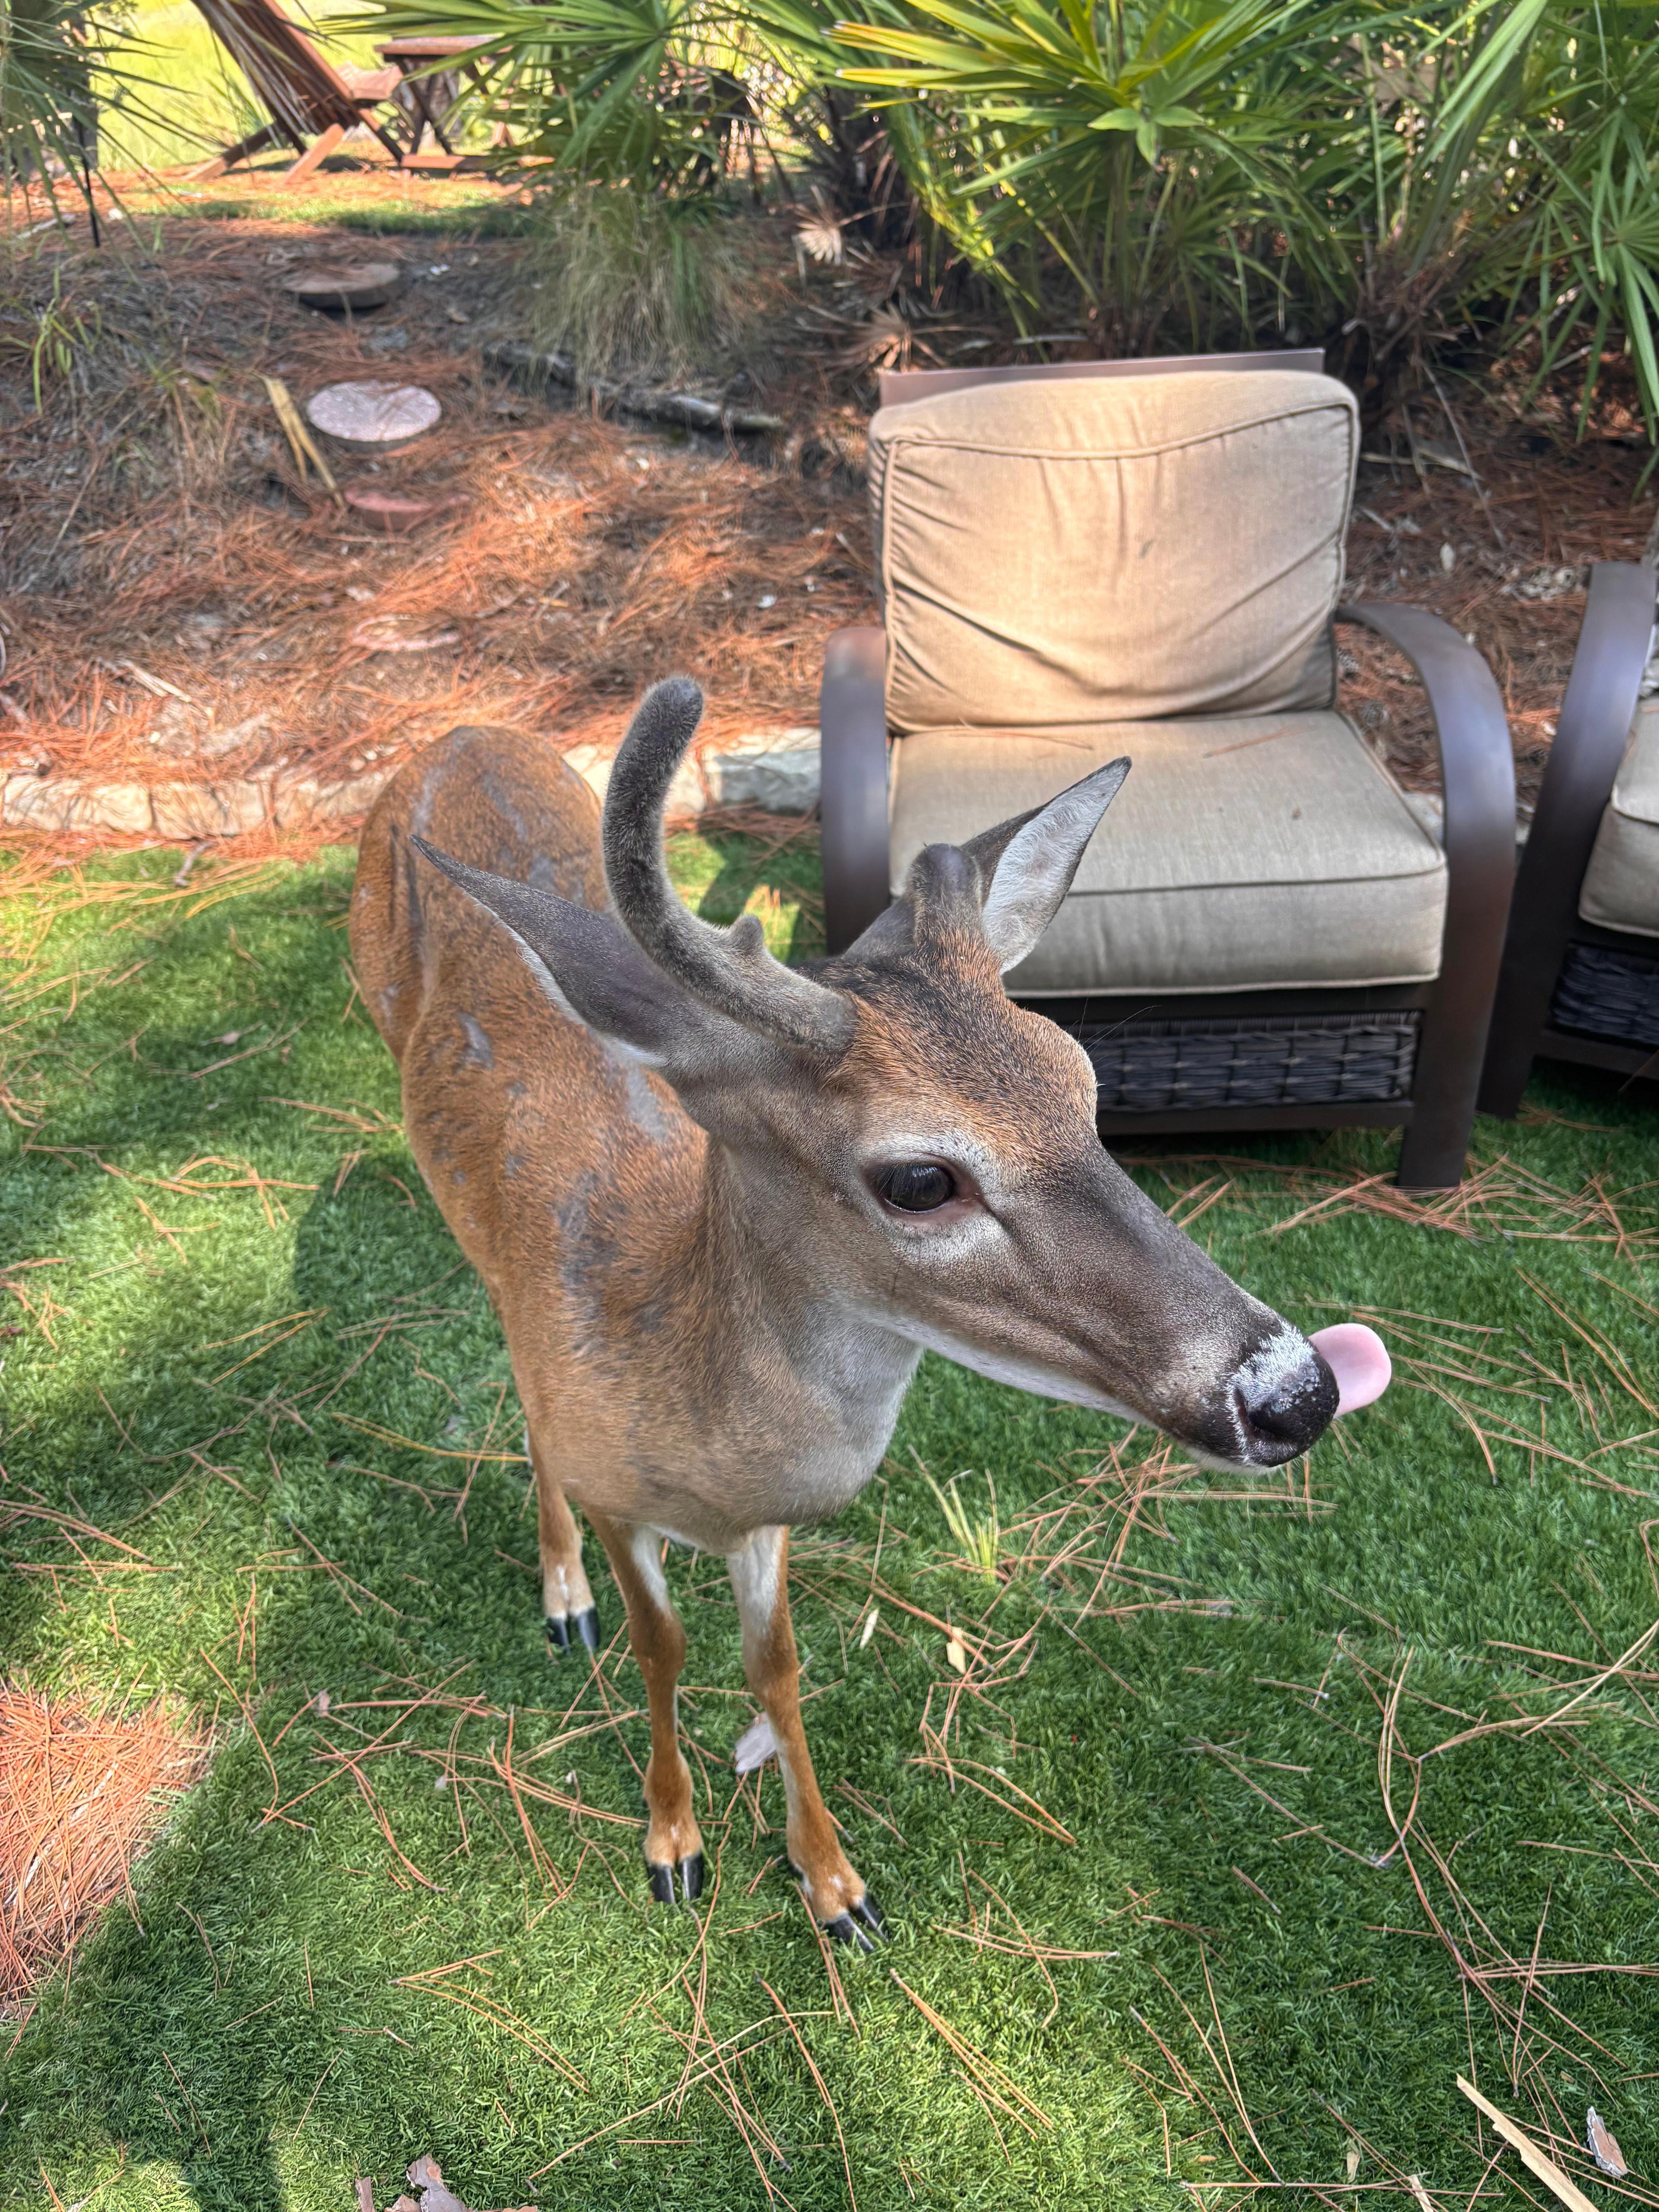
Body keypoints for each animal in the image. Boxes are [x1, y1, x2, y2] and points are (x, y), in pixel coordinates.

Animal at [350, 678, 1389, 1948]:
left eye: (1083, 1083)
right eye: (920, 1179)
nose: (1298, 1390)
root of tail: (457, 736)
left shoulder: (764, 1524)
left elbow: (777, 1668)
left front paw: (836, 1886)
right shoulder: (616, 1478)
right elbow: (663, 1646)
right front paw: (673, 1844)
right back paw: (563, 1599)